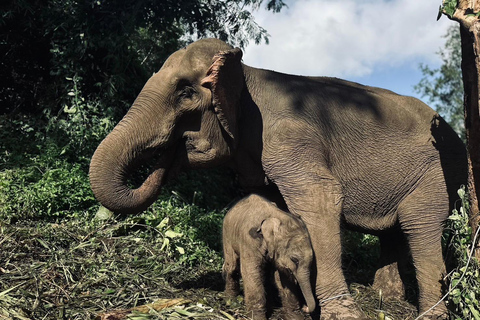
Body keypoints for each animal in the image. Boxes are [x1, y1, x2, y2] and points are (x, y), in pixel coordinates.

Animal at [89, 38, 464, 318]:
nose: (173, 149)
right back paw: (387, 296)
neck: (248, 74)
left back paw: (428, 313)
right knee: (394, 231)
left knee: (419, 225)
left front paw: (341, 314)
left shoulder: (290, 141)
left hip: (435, 175)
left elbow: (320, 199)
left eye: (186, 93)